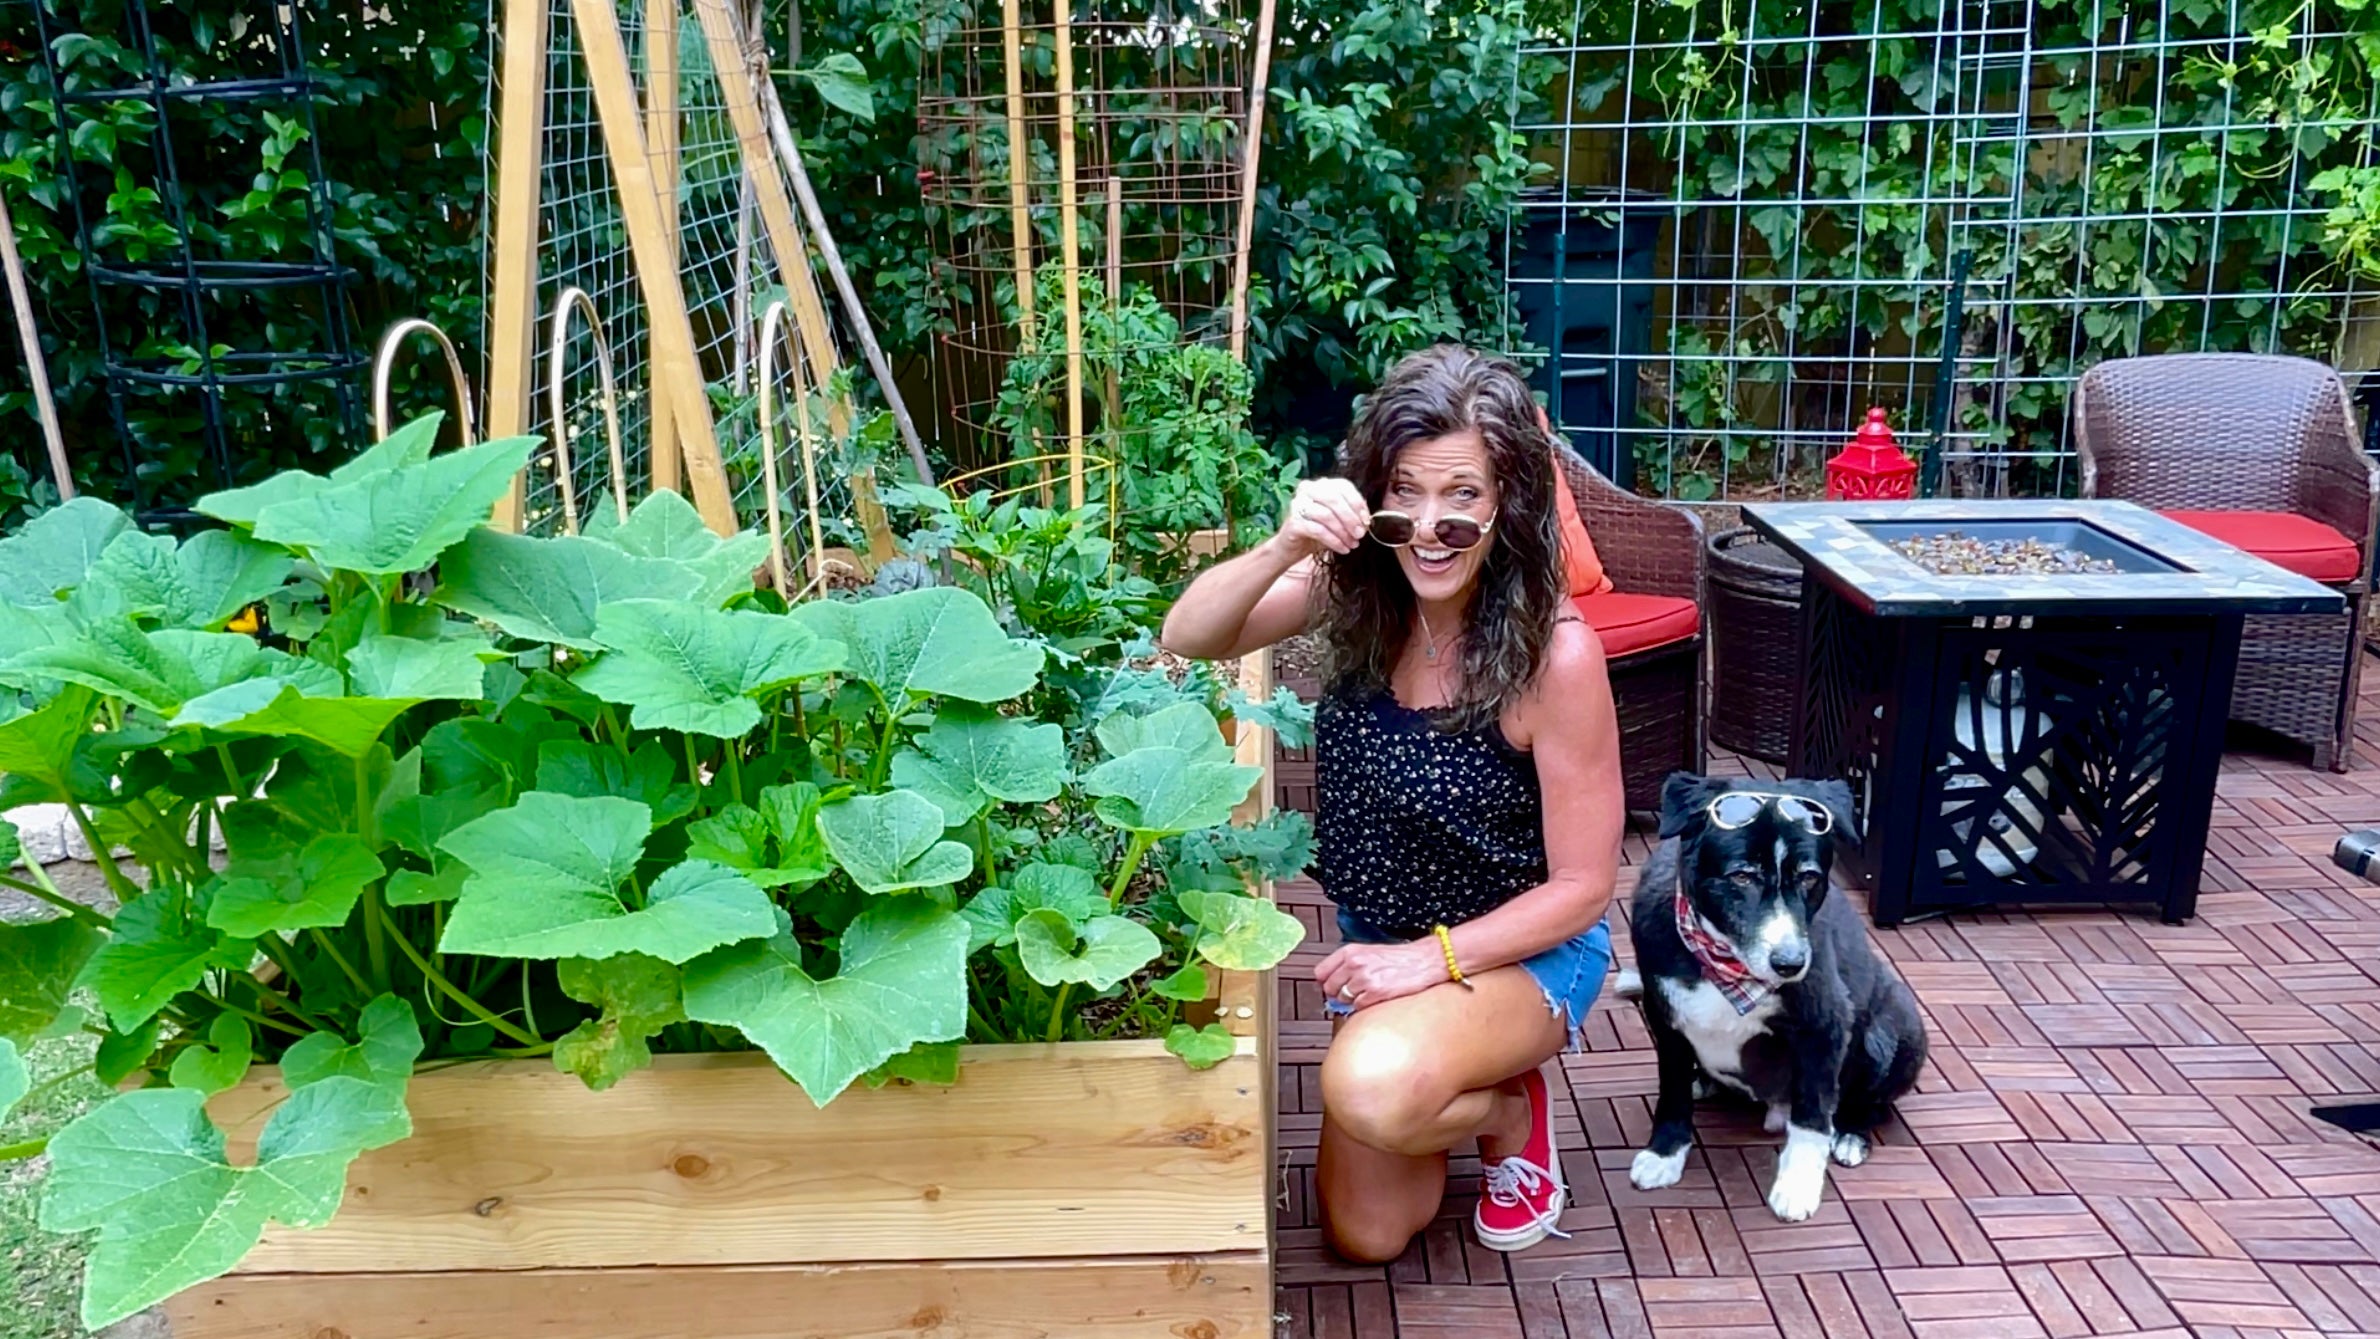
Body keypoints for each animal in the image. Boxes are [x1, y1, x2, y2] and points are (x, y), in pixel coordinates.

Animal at [1618, 775, 1932, 1227]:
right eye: (1742, 876)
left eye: (1809, 877)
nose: (1790, 963)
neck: (1728, 964)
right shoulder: (1665, 1016)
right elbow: (1672, 1091)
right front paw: (1666, 1153)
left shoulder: (1824, 1025)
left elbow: (1812, 1116)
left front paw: (1798, 1185)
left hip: (1896, 1030)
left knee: (1872, 1102)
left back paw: (1851, 1135)